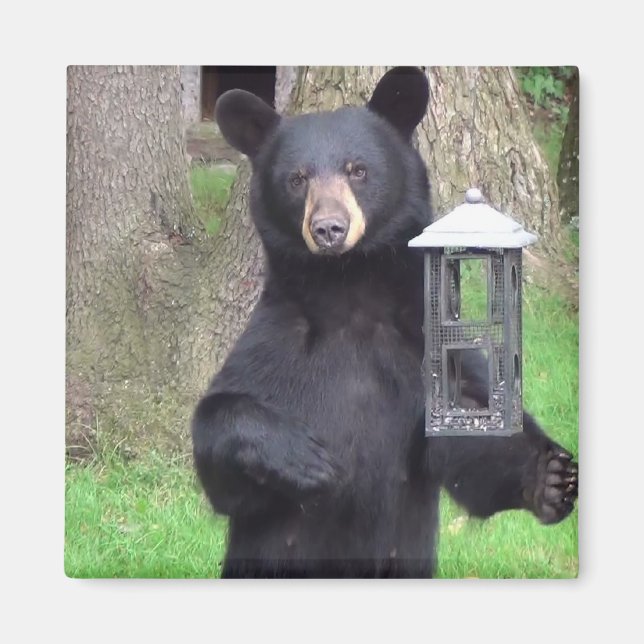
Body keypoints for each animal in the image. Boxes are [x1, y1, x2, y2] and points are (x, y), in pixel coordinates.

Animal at [191, 67, 578, 578]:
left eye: (358, 169)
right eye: (297, 178)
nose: (328, 229)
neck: (350, 288)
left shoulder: (423, 343)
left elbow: (469, 434)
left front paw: (551, 475)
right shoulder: (277, 339)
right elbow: (220, 440)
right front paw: (308, 460)